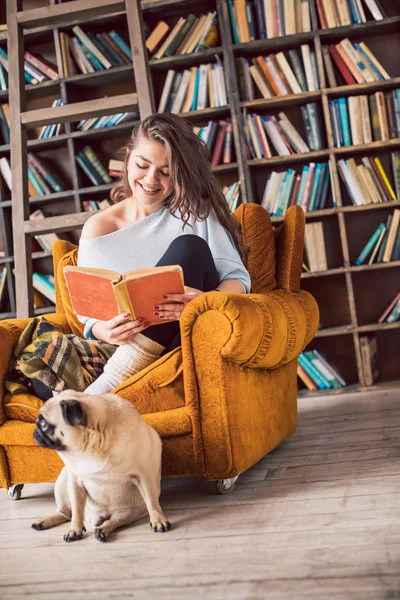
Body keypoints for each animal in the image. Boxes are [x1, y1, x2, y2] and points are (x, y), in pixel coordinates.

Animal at [30, 392, 170, 540]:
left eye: (43, 424)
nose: (35, 431)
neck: (92, 446)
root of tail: (100, 516)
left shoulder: (144, 475)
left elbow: (152, 502)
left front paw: (158, 520)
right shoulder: (74, 481)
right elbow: (77, 510)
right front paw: (74, 529)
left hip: (131, 512)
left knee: (115, 520)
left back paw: (103, 530)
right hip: (62, 480)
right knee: (66, 513)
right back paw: (44, 522)